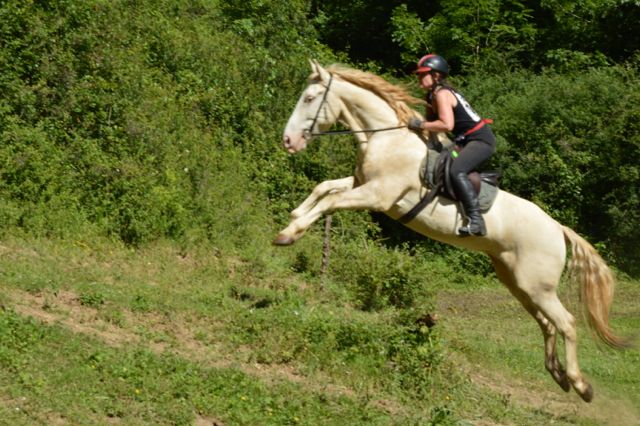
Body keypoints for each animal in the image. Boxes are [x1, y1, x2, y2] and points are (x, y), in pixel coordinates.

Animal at [273, 60, 628, 402]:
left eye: (309, 98)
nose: (288, 141)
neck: (386, 138)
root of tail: (557, 228)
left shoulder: (378, 195)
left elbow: (331, 201)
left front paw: (290, 233)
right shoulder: (364, 184)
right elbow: (324, 188)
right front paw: (292, 219)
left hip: (536, 285)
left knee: (566, 323)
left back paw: (580, 385)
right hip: (519, 283)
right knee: (546, 323)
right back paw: (557, 374)